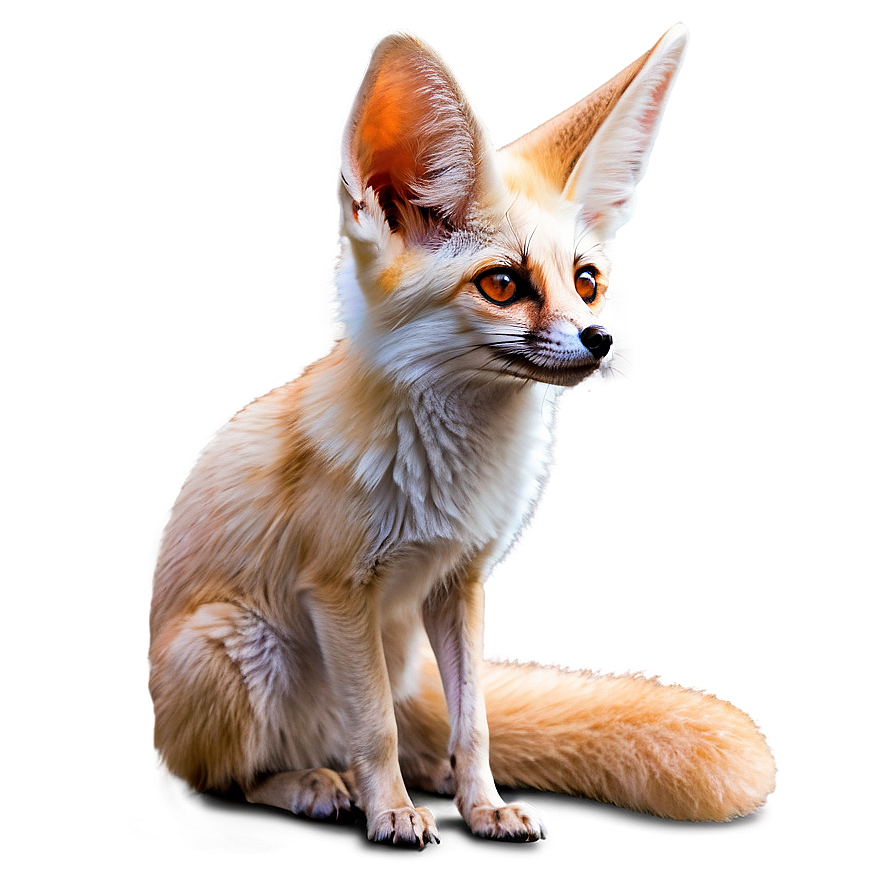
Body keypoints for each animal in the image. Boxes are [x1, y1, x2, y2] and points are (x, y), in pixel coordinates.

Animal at [149, 23, 777, 847]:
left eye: (585, 282)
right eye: (502, 284)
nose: (601, 339)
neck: (448, 481)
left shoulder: (458, 583)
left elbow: (473, 721)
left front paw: (483, 806)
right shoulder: (339, 592)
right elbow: (373, 729)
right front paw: (391, 815)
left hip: (388, 648)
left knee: (408, 732)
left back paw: (423, 775)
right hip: (232, 643)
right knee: (222, 778)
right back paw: (314, 784)